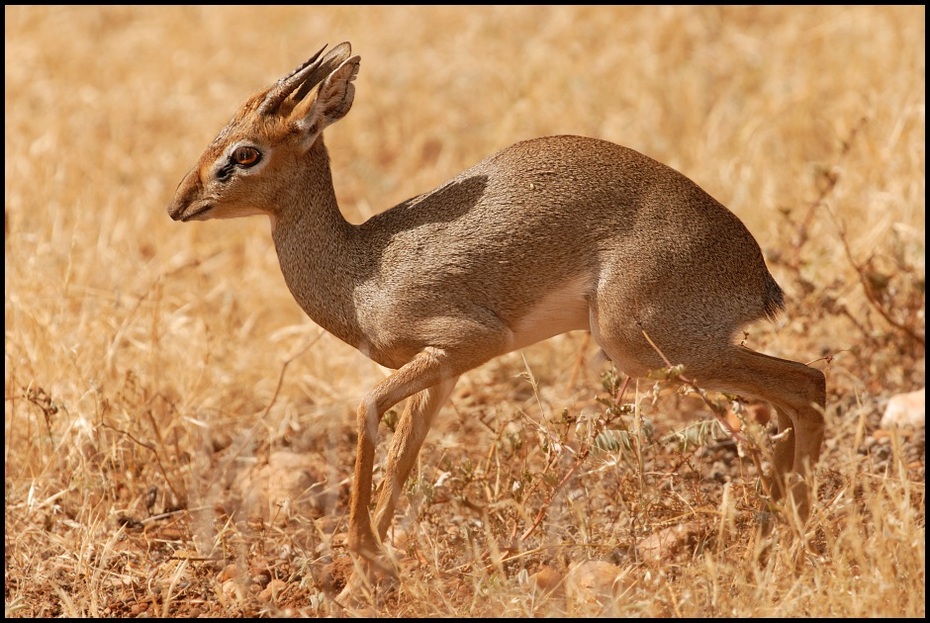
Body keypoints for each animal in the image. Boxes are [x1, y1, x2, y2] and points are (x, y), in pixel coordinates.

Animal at [169, 41, 828, 596]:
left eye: (244, 154)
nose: (179, 204)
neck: (361, 273)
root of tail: (756, 275)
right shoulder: (440, 376)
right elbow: (402, 462)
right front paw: (368, 579)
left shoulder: (464, 344)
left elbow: (365, 411)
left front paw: (364, 563)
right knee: (791, 404)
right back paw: (784, 529)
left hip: (649, 348)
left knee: (805, 387)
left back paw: (790, 543)